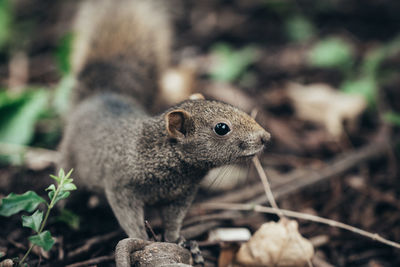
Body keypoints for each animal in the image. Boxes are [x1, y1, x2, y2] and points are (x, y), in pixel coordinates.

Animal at [59, 0, 270, 264]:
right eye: (221, 128)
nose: (266, 137)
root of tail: (100, 97)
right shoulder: (121, 186)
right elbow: (129, 217)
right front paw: (143, 239)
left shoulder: (181, 196)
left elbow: (173, 221)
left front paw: (179, 240)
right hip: (69, 159)